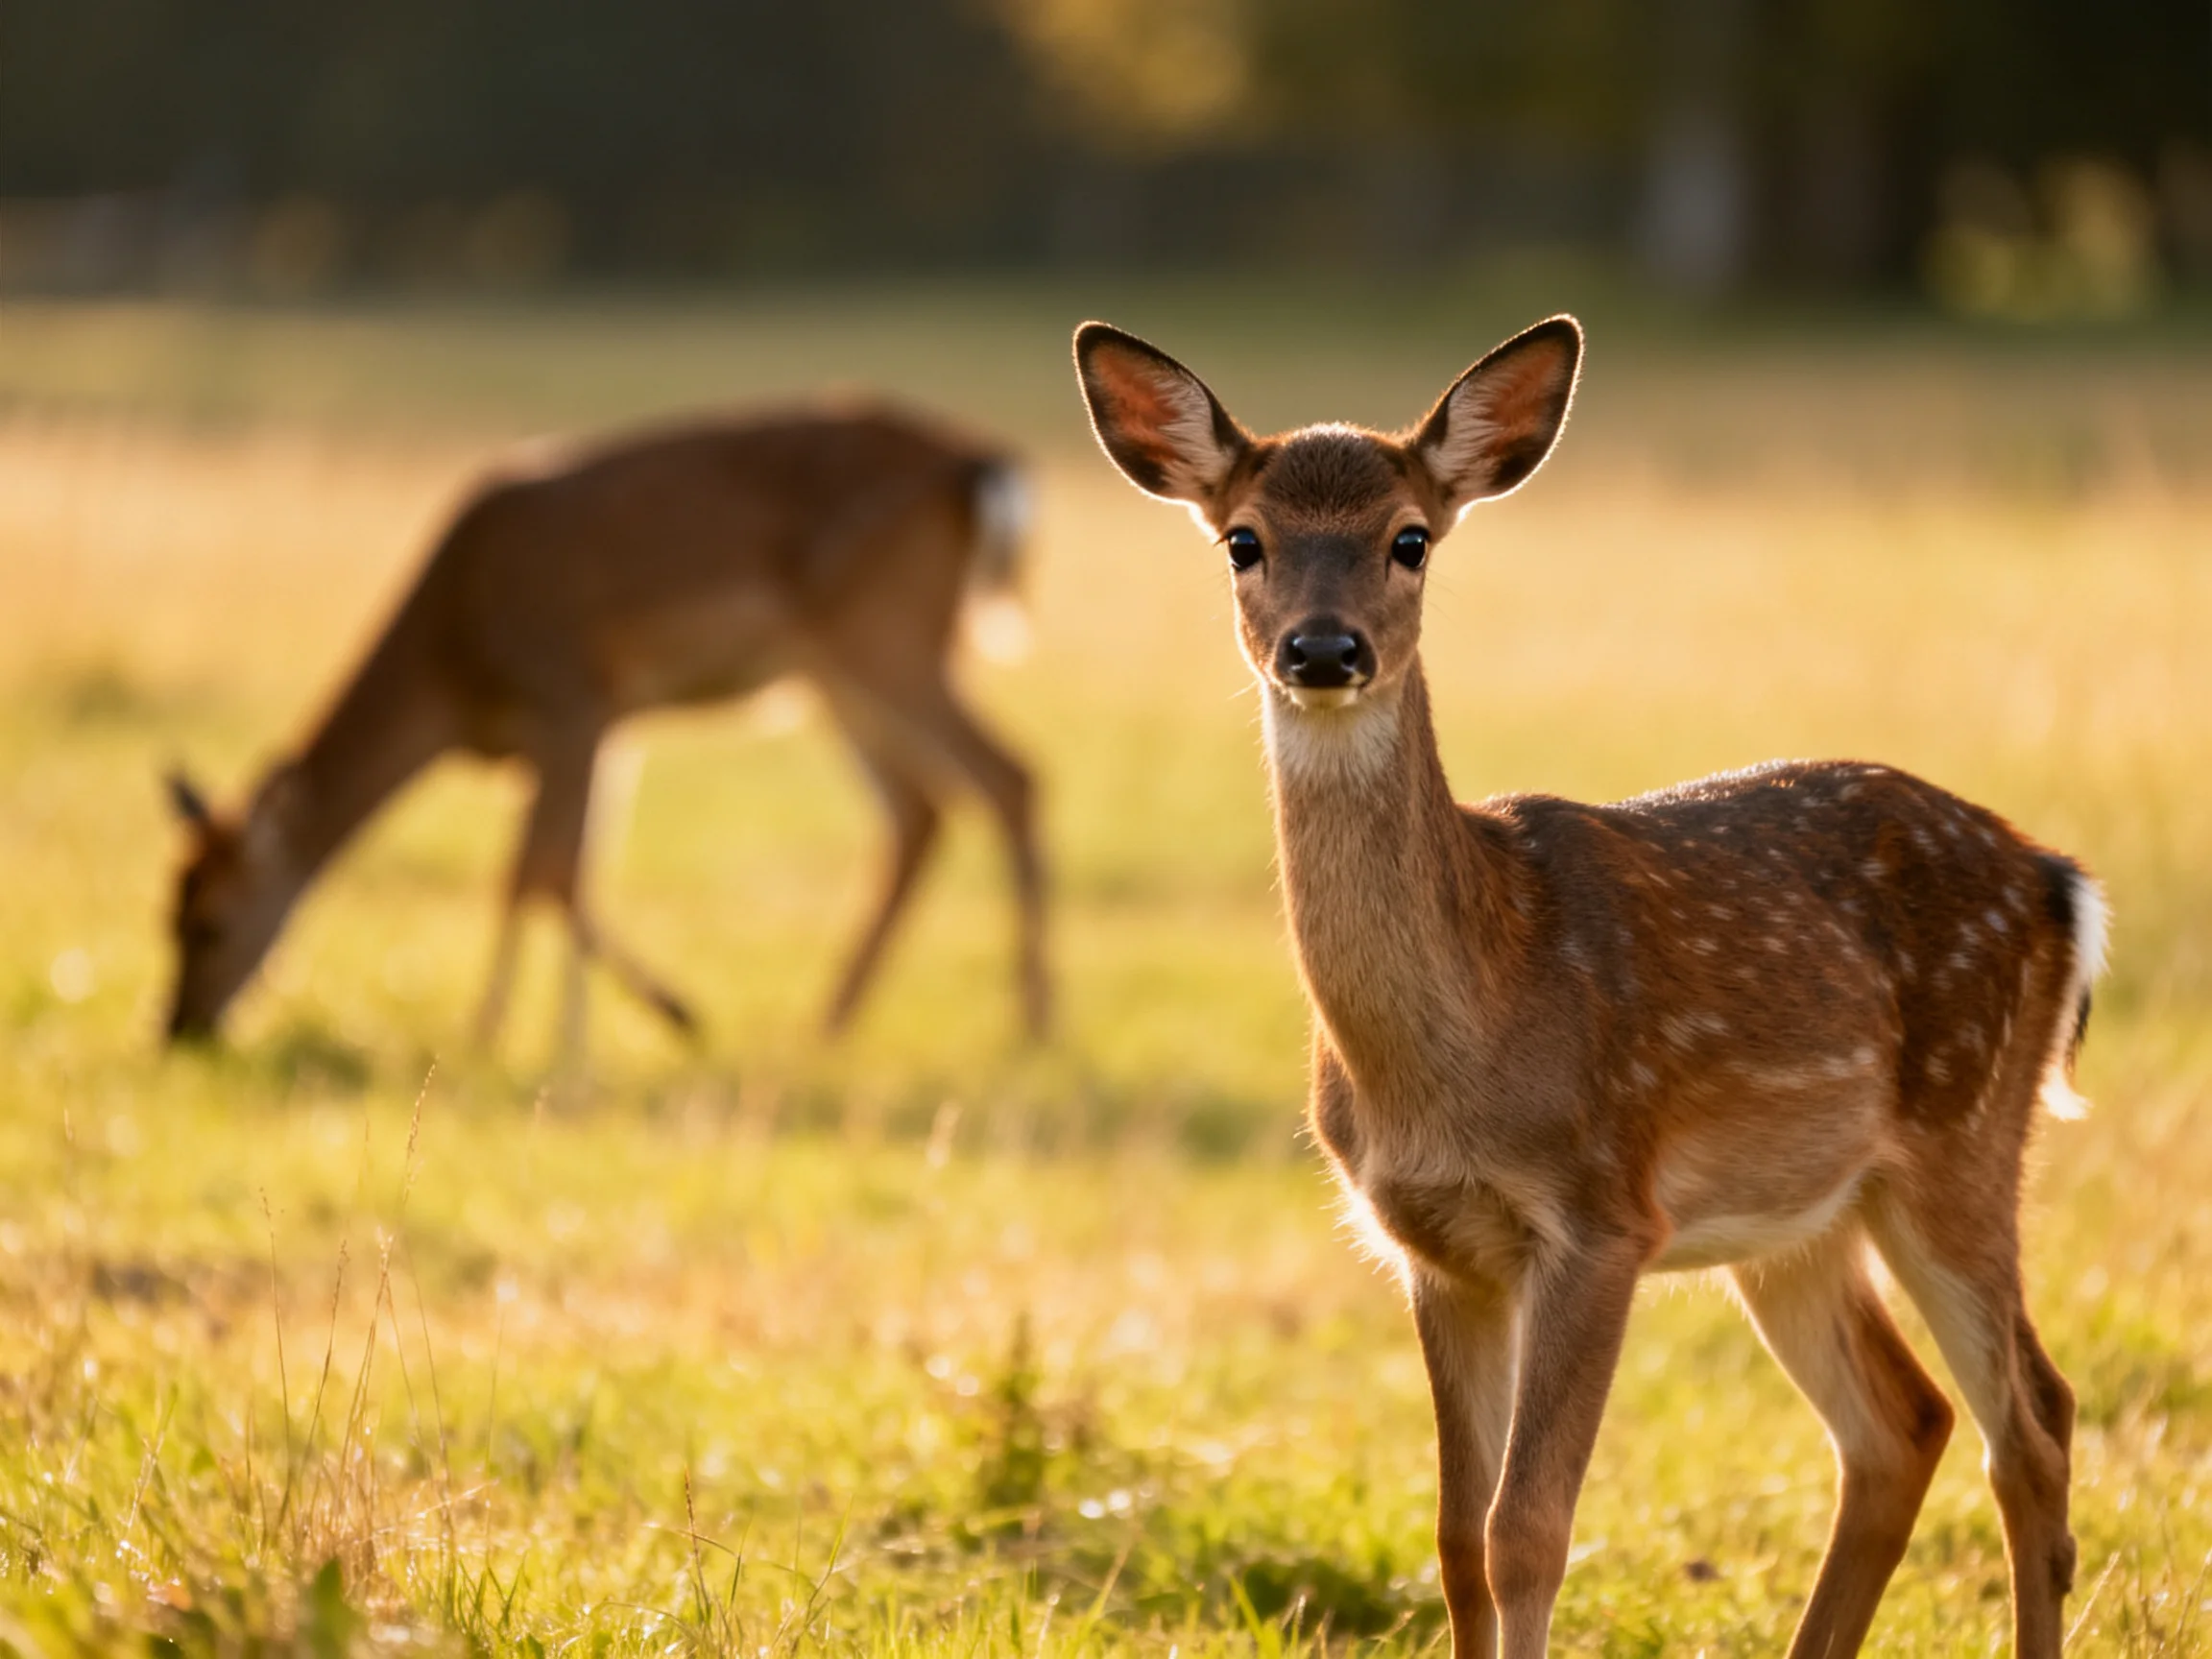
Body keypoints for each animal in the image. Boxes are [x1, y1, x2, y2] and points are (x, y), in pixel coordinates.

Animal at [165, 403, 1049, 1055]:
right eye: (165, 917)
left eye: (209, 925)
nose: (178, 1030)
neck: (453, 675)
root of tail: (984, 466)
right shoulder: (594, 727)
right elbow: (558, 867)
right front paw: (593, 1029)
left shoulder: (572, 696)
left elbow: (542, 869)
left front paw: (512, 1037)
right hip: (835, 675)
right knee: (922, 810)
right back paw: (829, 1021)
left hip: (886, 635)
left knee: (1010, 774)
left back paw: (1034, 1023)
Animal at [1074, 315, 2105, 1658]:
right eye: (1242, 539)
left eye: (1410, 538)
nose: (1325, 647)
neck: (1468, 1032)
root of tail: (2058, 883)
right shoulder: (1436, 1249)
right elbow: (1457, 1540)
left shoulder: (1601, 1213)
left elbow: (1529, 1529)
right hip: (1798, 1216)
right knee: (1904, 1424)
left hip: (1963, 1137)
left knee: (2031, 1418)